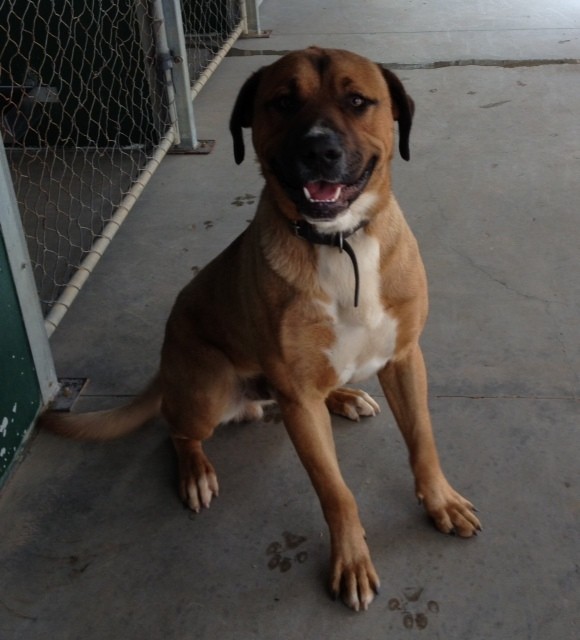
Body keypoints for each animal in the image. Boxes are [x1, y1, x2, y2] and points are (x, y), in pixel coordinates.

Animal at [40, 47, 481, 611]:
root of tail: (165, 365)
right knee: (177, 429)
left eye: (358, 101)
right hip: (208, 389)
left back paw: (344, 397)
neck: (340, 243)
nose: (320, 150)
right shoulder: (298, 404)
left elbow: (423, 441)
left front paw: (441, 502)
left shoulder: (405, 359)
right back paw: (196, 471)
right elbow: (336, 491)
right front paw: (351, 561)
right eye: (283, 102)